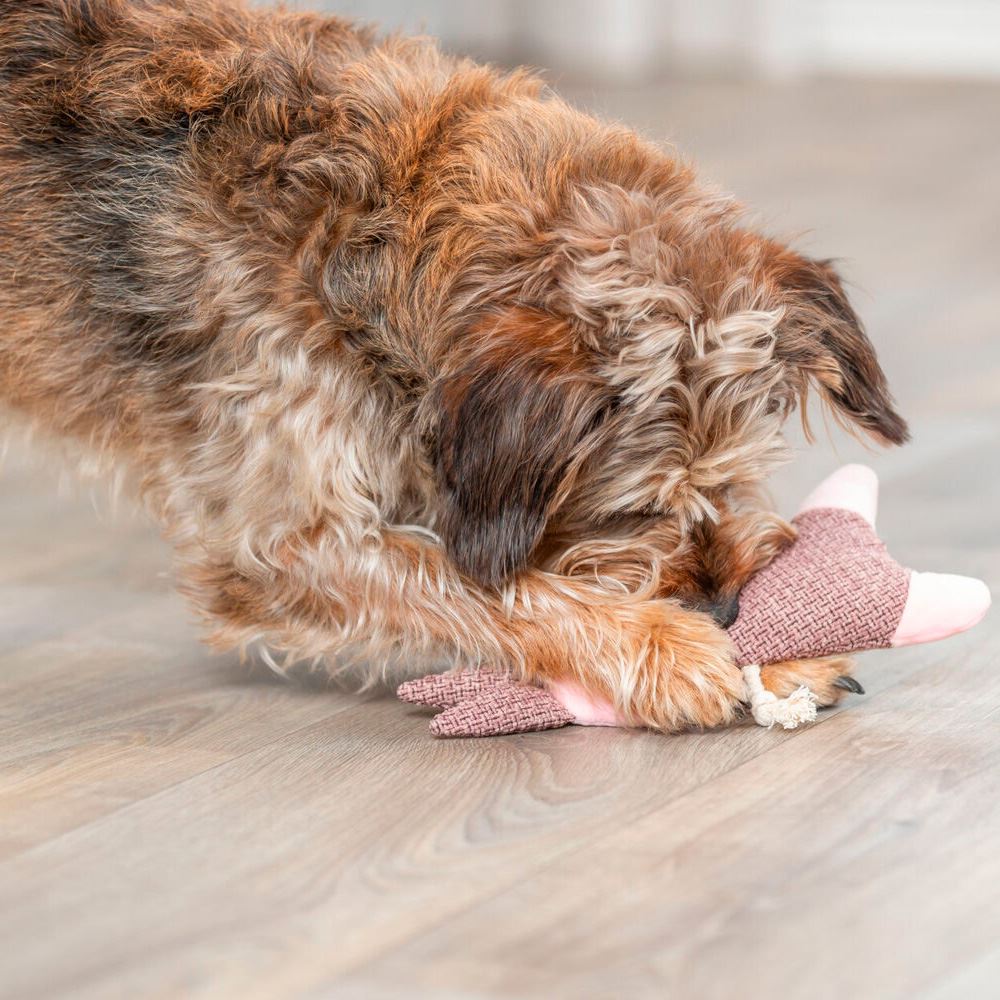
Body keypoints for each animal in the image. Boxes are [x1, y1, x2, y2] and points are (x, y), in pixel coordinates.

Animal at [0, 1, 908, 736]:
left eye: (733, 478)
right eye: (634, 509)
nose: (722, 606)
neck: (374, 224)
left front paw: (782, 653)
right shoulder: (282, 544)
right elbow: (475, 584)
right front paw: (661, 646)